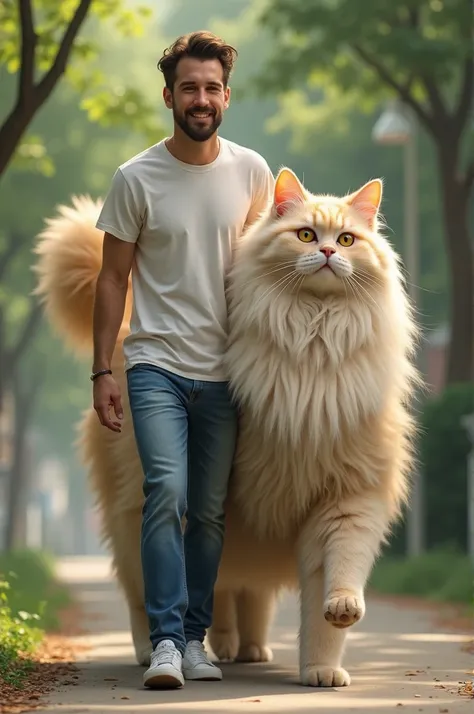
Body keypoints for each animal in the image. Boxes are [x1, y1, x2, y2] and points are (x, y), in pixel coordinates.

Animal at [34, 167, 418, 684]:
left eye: (347, 239)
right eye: (305, 235)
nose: (328, 253)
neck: (313, 342)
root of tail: (126, 330)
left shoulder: (347, 496)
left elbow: (334, 585)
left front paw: (325, 658)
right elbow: (184, 587)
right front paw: (177, 649)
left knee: (241, 597)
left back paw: (248, 650)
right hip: (136, 514)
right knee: (150, 592)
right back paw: (157, 652)